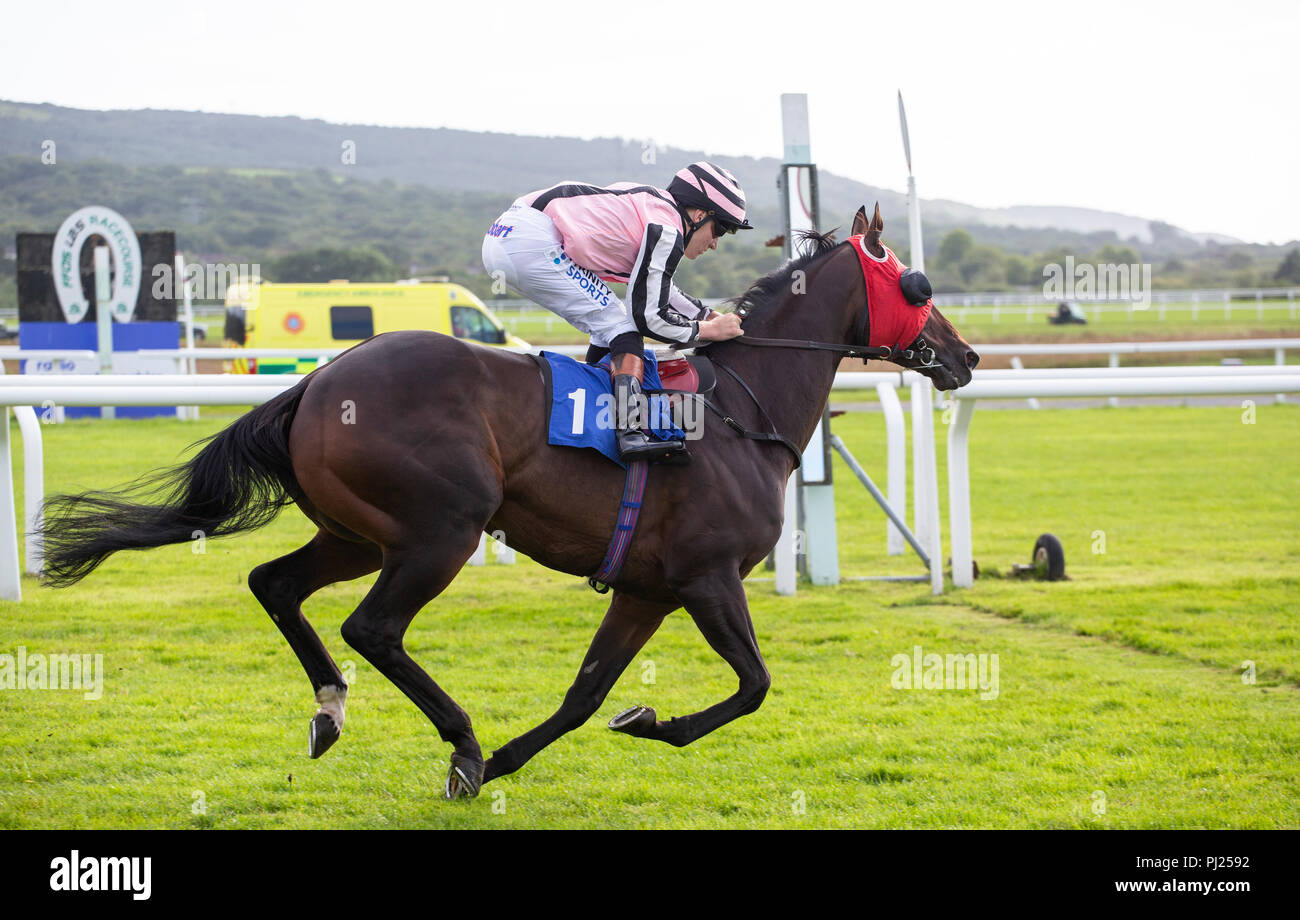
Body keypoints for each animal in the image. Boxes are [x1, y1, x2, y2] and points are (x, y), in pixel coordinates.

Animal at [40, 202, 977, 795]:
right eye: (919, 285)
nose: (966, 357)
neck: (742, 411)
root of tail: (316, 384)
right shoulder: (707, 578)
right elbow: (753, 685)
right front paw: (640, 727)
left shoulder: (646, 589)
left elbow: (585, 695)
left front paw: (542, 749)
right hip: (441, 530)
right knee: (372, 628)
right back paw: (457, 740)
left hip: (357, 534)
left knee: (273, 585)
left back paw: (332, 711)